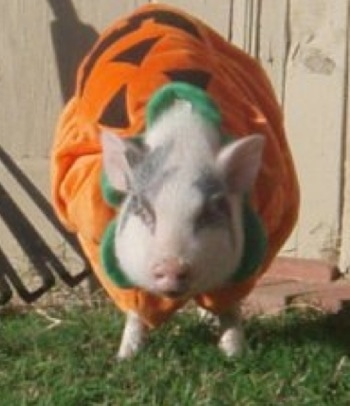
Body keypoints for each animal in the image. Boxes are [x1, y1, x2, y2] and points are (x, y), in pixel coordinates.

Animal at [100, 99, 264, 358]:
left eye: (208, 212)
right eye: (144, 209)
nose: (171, 266)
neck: (183, 141)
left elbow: (230, 308)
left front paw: (235, 355)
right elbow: (135, 310)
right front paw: (125, 357)